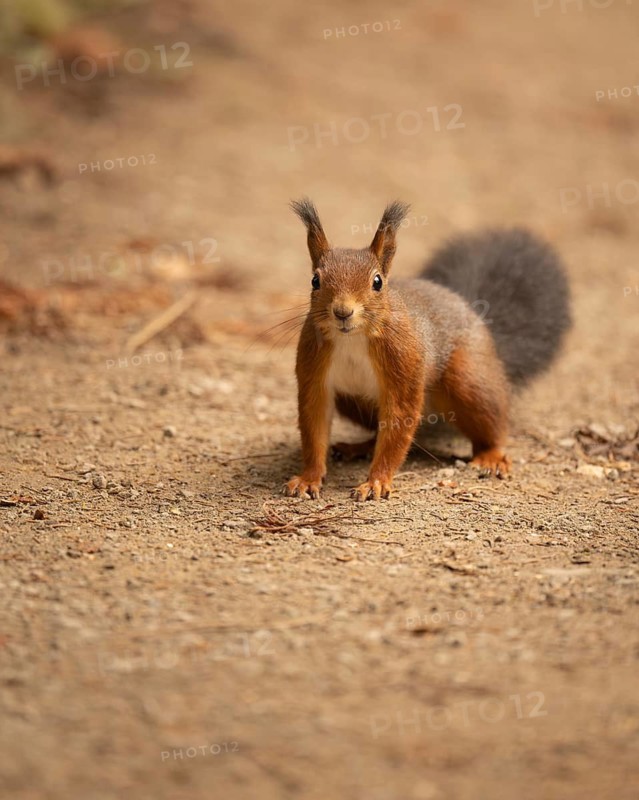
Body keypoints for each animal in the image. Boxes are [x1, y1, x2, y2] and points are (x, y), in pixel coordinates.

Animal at [284, 198, 571, 501]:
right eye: (315, 281)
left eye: (377, 282)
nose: (342, 312)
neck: (352, 338)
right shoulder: (314, 371)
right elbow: (314, 424)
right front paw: (308, 478)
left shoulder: (404, 364)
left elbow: (399, 423)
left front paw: (376, 482)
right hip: (353, 402)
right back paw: (359, 447)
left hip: (469, 380)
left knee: (491, 420)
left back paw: (491, 455)